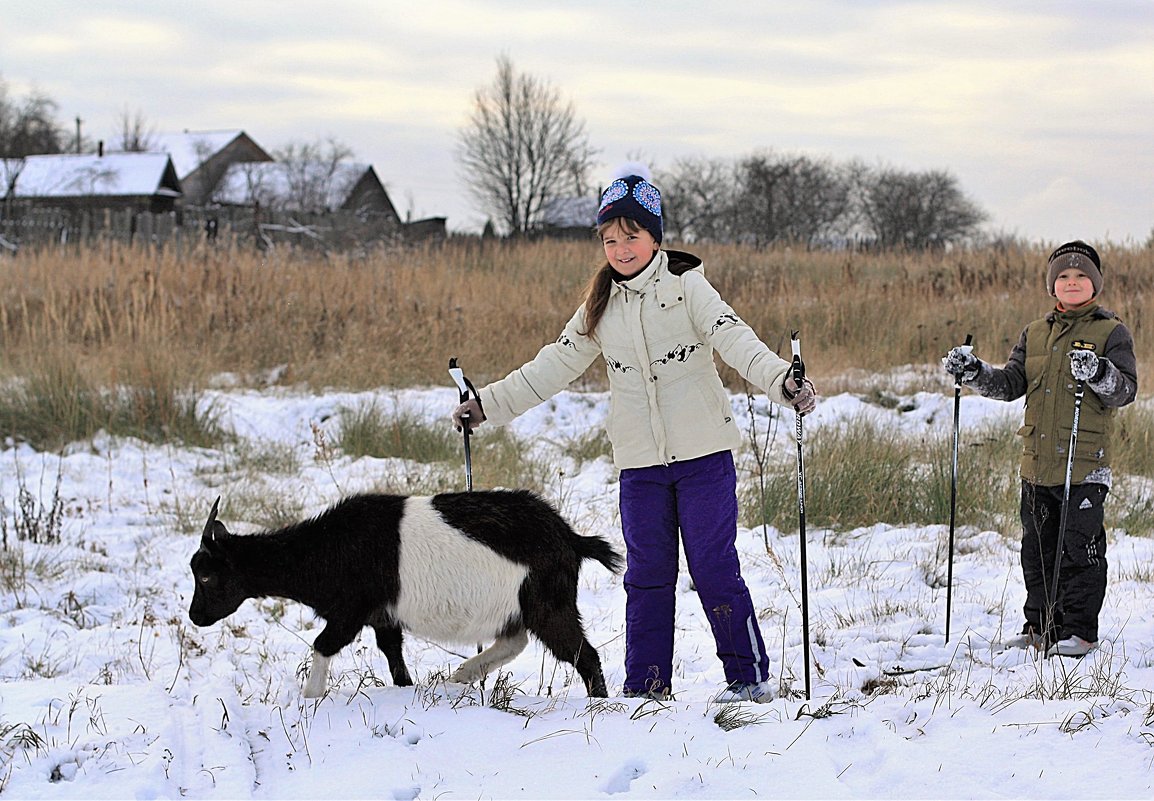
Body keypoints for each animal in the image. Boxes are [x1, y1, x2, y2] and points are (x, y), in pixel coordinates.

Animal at [189, 487, 623, 701]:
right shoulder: (383, 615)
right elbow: (392, 651)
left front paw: (308, 697)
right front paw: (405, 689)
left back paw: (599, 703)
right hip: (520, 605)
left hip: (547, 602)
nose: (196, 617)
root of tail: (571, 538)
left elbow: (323, 644)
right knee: (515, 640)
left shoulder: (352, 610)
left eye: (206, 576)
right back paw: (464, 674)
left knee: (583, 654)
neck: (327, 549)